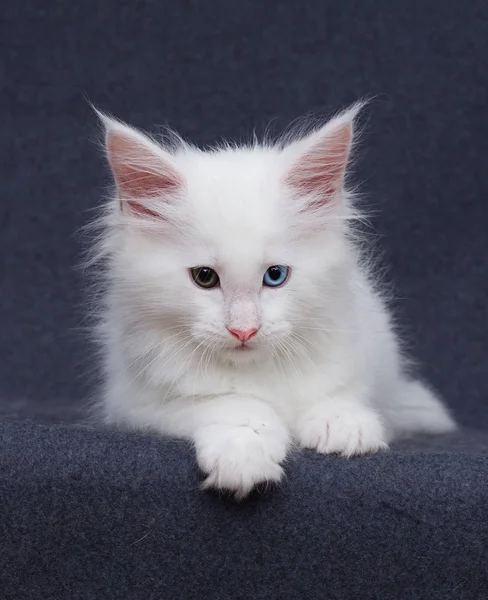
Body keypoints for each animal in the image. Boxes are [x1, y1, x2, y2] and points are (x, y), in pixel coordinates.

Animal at [89, 105, 456, 500]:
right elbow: (232, 407)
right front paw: (244, 455)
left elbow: (337, 391)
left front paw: (342, 422)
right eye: (204, 278)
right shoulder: (139, 403)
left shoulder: (356, 345)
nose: (244, 330)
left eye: (275, 275)